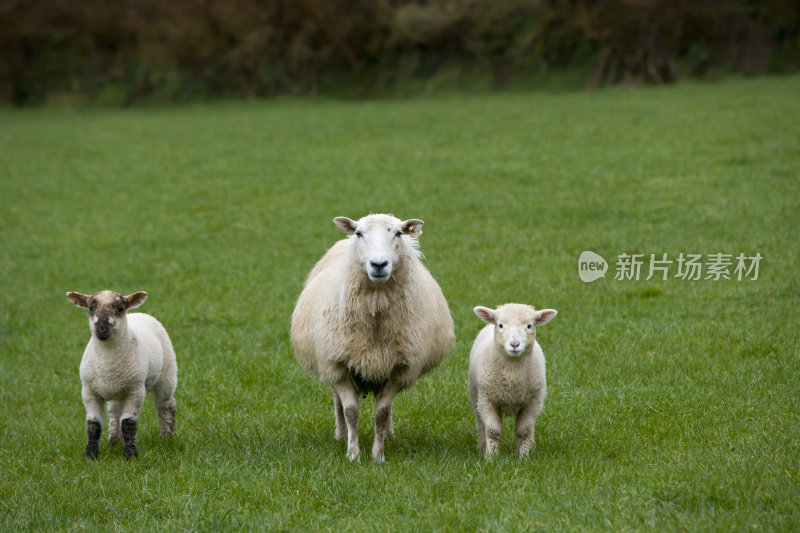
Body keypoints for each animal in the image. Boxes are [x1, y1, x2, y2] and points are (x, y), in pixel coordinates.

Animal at [66, 288, 177, 460]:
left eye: (119, 308)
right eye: (91, 308)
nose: (102, 330)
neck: (107, 363)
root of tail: (139, 313)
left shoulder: (135, 390)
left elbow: (128, 423)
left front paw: (130, 455)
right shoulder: (88, 390)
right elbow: (93, 424)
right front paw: (91, 455)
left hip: (166, 375)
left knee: (165, 406)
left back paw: (167, 438)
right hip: (117, 391)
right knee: (113, 413)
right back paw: (113, 442)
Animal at [292, 214, 456, 460]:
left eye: (398, 233)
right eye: (359, 233)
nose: (379, 264)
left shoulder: (399, 368)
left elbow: (382, 412)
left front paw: (378, 455)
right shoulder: (338, 364)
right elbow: (350, 411)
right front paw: (353, 453)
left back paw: (388, 434)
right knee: (337, 401)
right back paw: (340, 435)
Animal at [468, 304, 556, 458]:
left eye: (529, 325)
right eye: (501, 325)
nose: (515, 344)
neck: (512, 372)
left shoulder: (532, 402)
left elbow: (524, 431)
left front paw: (524, 457)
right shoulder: (487, 400)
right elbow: (493, 431)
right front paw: (491, 457)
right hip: (476, 397)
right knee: (480, 424)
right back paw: (482, 448)